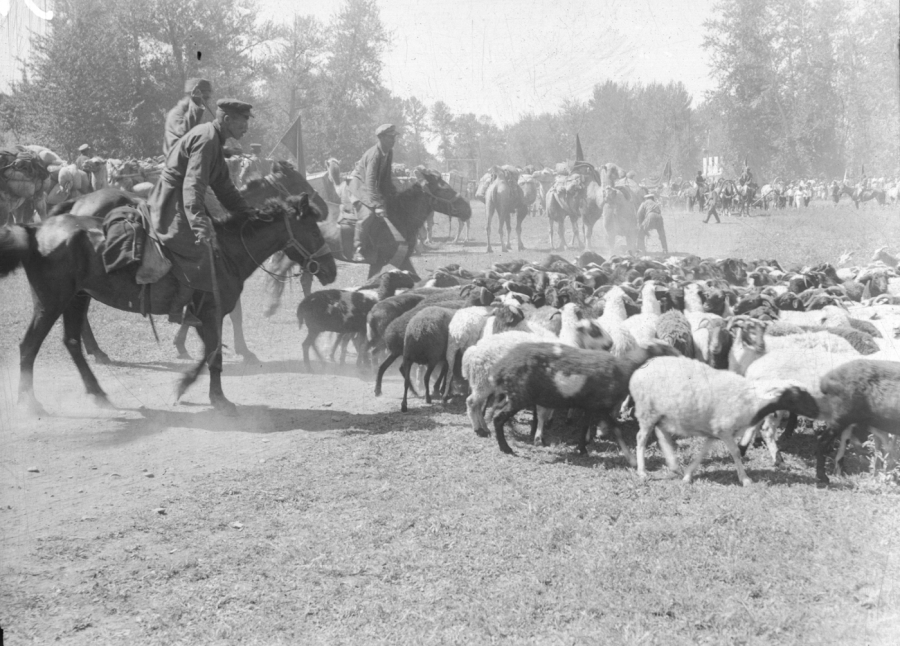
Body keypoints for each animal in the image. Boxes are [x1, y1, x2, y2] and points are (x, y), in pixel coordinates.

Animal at [0, 190, 338, 418]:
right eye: (312, 229)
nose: (331, 270)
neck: (226, 250)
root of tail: (35, 229)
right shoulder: (210, 312)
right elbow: (213, 355)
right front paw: (208, 396)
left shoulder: (202, 315)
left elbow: (210, 352)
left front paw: (191, 388)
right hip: (50, 302)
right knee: (29, 346)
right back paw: (30, 402)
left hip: (76, 298)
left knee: (71, 342)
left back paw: (98, 393)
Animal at [492, 342, 676, 458]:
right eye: (666, 348)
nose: (679, 356)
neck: (626, 368)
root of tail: (502, 365)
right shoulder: (601, 406)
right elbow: (616, 429)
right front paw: (630, 458)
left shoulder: (590, 406)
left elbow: (585, 427)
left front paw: (581, 449)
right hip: (520, 395)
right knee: (498, 419)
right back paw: (506, 448)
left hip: (512, 395)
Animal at [628, 356, 820, 488]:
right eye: (795, 396)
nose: (817, 412)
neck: (753, 400)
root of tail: (639, 371)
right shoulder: (724, 430)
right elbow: (735, 452)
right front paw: (745, 479)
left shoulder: (714, 432)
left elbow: (702, 454)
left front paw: (688, 475)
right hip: (647, 412)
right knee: (641, 439)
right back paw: (642, 471)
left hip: (661, 414)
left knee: (662, 434)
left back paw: (674, 466)